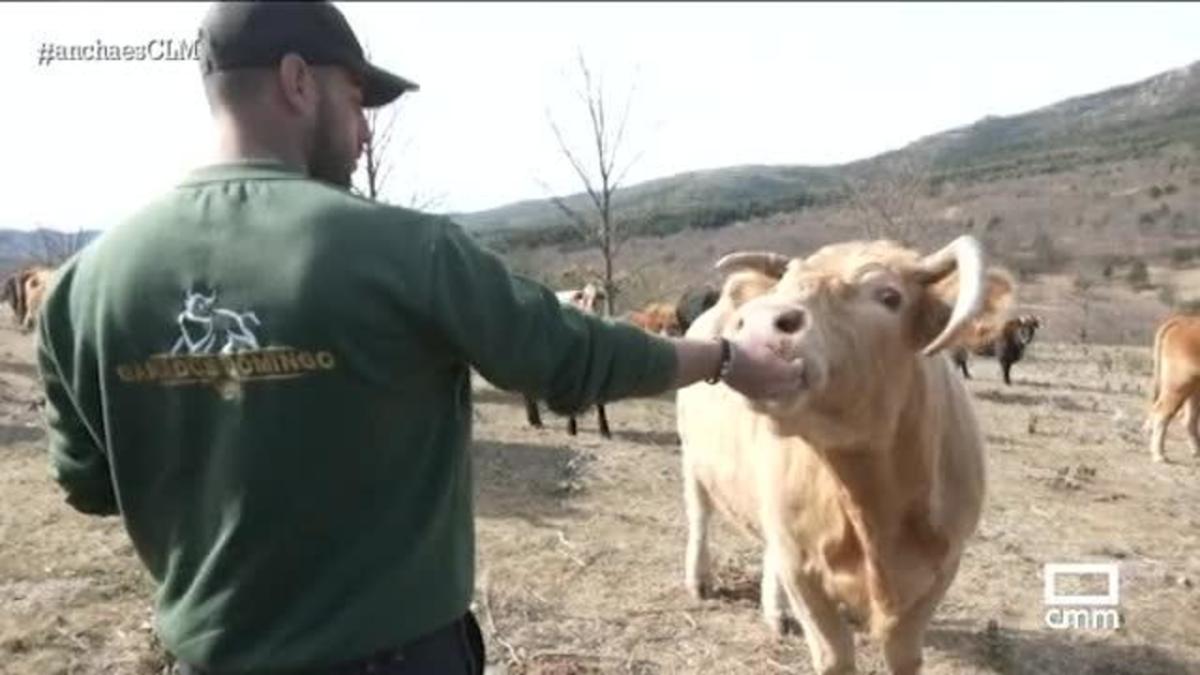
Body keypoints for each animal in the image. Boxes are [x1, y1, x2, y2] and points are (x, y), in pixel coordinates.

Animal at [681, 234, 1008, 667]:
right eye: (784, 287)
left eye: (889, 296)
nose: (760, 322)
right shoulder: (803, 570)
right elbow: (835, 654)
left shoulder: (942, 567)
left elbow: (903, 654)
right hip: (692, 459)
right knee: (700, 516)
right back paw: (700, 580)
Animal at [1142, 312, 1200, 461]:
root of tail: (1183, 320)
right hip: (1179, 384)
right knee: (1162, 413)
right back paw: (1159, 454)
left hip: (1193, 388)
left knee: (1189, 420)